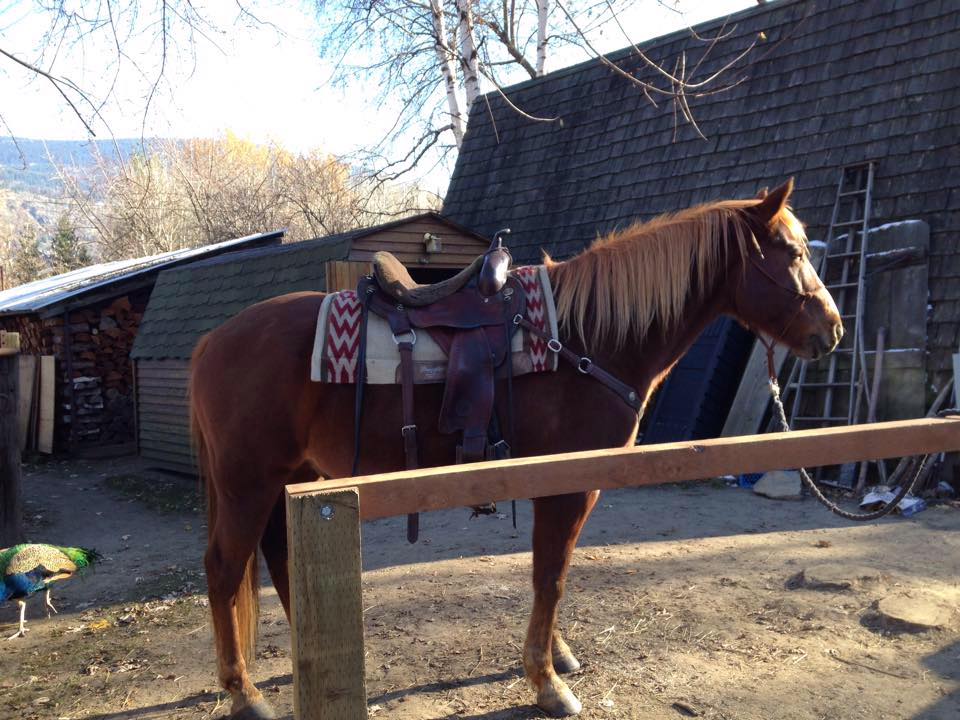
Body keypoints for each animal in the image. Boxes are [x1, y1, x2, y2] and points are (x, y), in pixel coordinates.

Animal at [190, 179, 842, 719]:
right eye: (792, 253)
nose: (832, 330)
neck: (584, 339)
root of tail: (211, 341)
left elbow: (552, 573)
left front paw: (558, 654)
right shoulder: (568, 486)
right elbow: (550, 576)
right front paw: (548, 683)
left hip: (287, 477)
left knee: (278, 560)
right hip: (248, 482)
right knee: (224, 569)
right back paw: (244, 694)